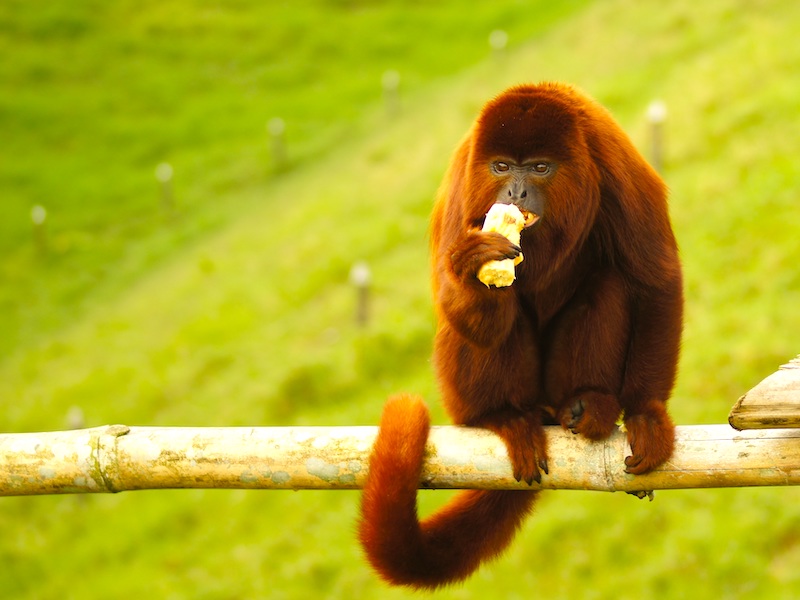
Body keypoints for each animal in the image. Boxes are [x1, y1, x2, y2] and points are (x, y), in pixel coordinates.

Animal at [360, 82, 684, 588]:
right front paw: (476, 267)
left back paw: (587, 403)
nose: (515, 190)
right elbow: (460, 305)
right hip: (467, 398)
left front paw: (646, 413)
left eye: (539, 167)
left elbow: (655, 280)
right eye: (501, 167)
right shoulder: (464, 186)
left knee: (607, 280)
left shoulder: (615, 162)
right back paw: (503, 417)